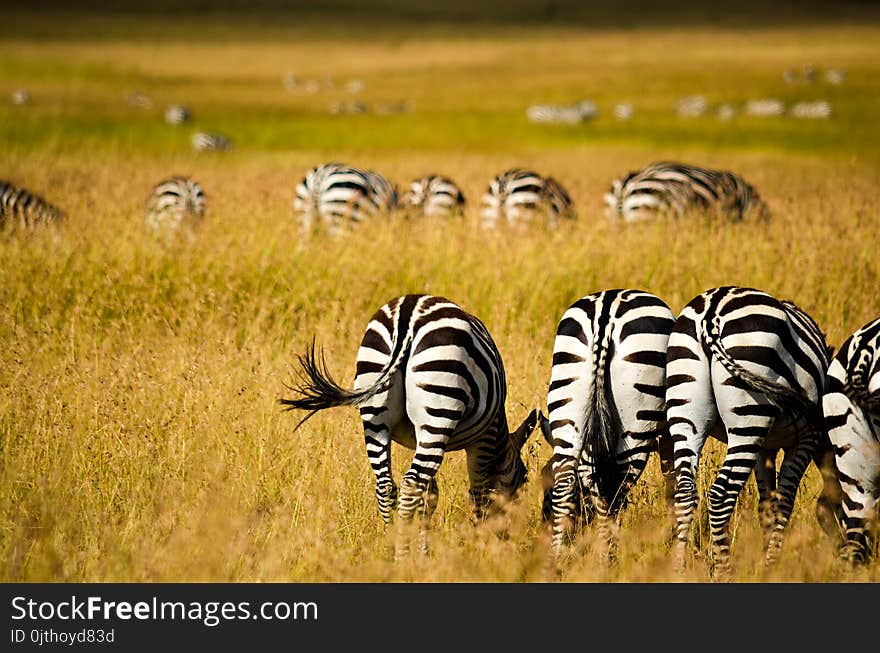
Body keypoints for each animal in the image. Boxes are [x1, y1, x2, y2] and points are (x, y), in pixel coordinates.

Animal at [278, 296, 540, 556]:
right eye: (524, 479)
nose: (509, 537)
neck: (499, 435)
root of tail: (408, 315)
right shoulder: (483, 439)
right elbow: (478, 494)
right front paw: (476, 547)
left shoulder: (419, 438)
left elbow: (430, 497)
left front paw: (424, 554)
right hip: (439, 409)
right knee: (410, 485)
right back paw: (401, 556)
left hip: (375, 412)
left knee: (385, 486)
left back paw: (388, 550)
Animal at [536, 290, 672, 560]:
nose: (539, 535)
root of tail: (605, 312)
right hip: (636, 424)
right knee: (616, 491)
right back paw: (610, 558)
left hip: (569, 400)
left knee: (571, 483)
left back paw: (560, 559)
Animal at [668, 286, 844, 576]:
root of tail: (712, 311)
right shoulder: (806, 437)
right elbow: (783, 502)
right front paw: (772, 565)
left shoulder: (765, 447)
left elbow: (767, 505)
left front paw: (764, 561)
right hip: (748, 416)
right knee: (721, 495)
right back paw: (724, 572)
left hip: (686, 412)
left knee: (684, 492)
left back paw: (677, 570)